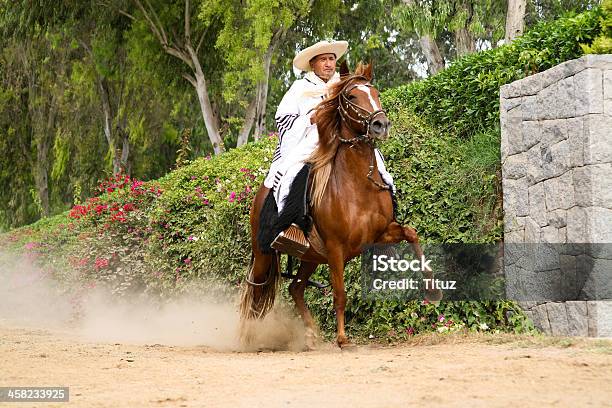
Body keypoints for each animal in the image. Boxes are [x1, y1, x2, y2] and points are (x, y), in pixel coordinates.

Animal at [239, 62, 440, 350]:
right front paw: (343, 338)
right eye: (352, 96)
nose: (381, 124)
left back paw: (311, 336)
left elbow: (412, 234)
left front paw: (433, 289)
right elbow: (340, 293)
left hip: (310, 256)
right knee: (256, 287)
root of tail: (260, 195)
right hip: (264, 251)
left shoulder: (379, 234)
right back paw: (247, 336)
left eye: (376, 93)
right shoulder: (335, 248)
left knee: (295, 288)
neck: (357, 185)